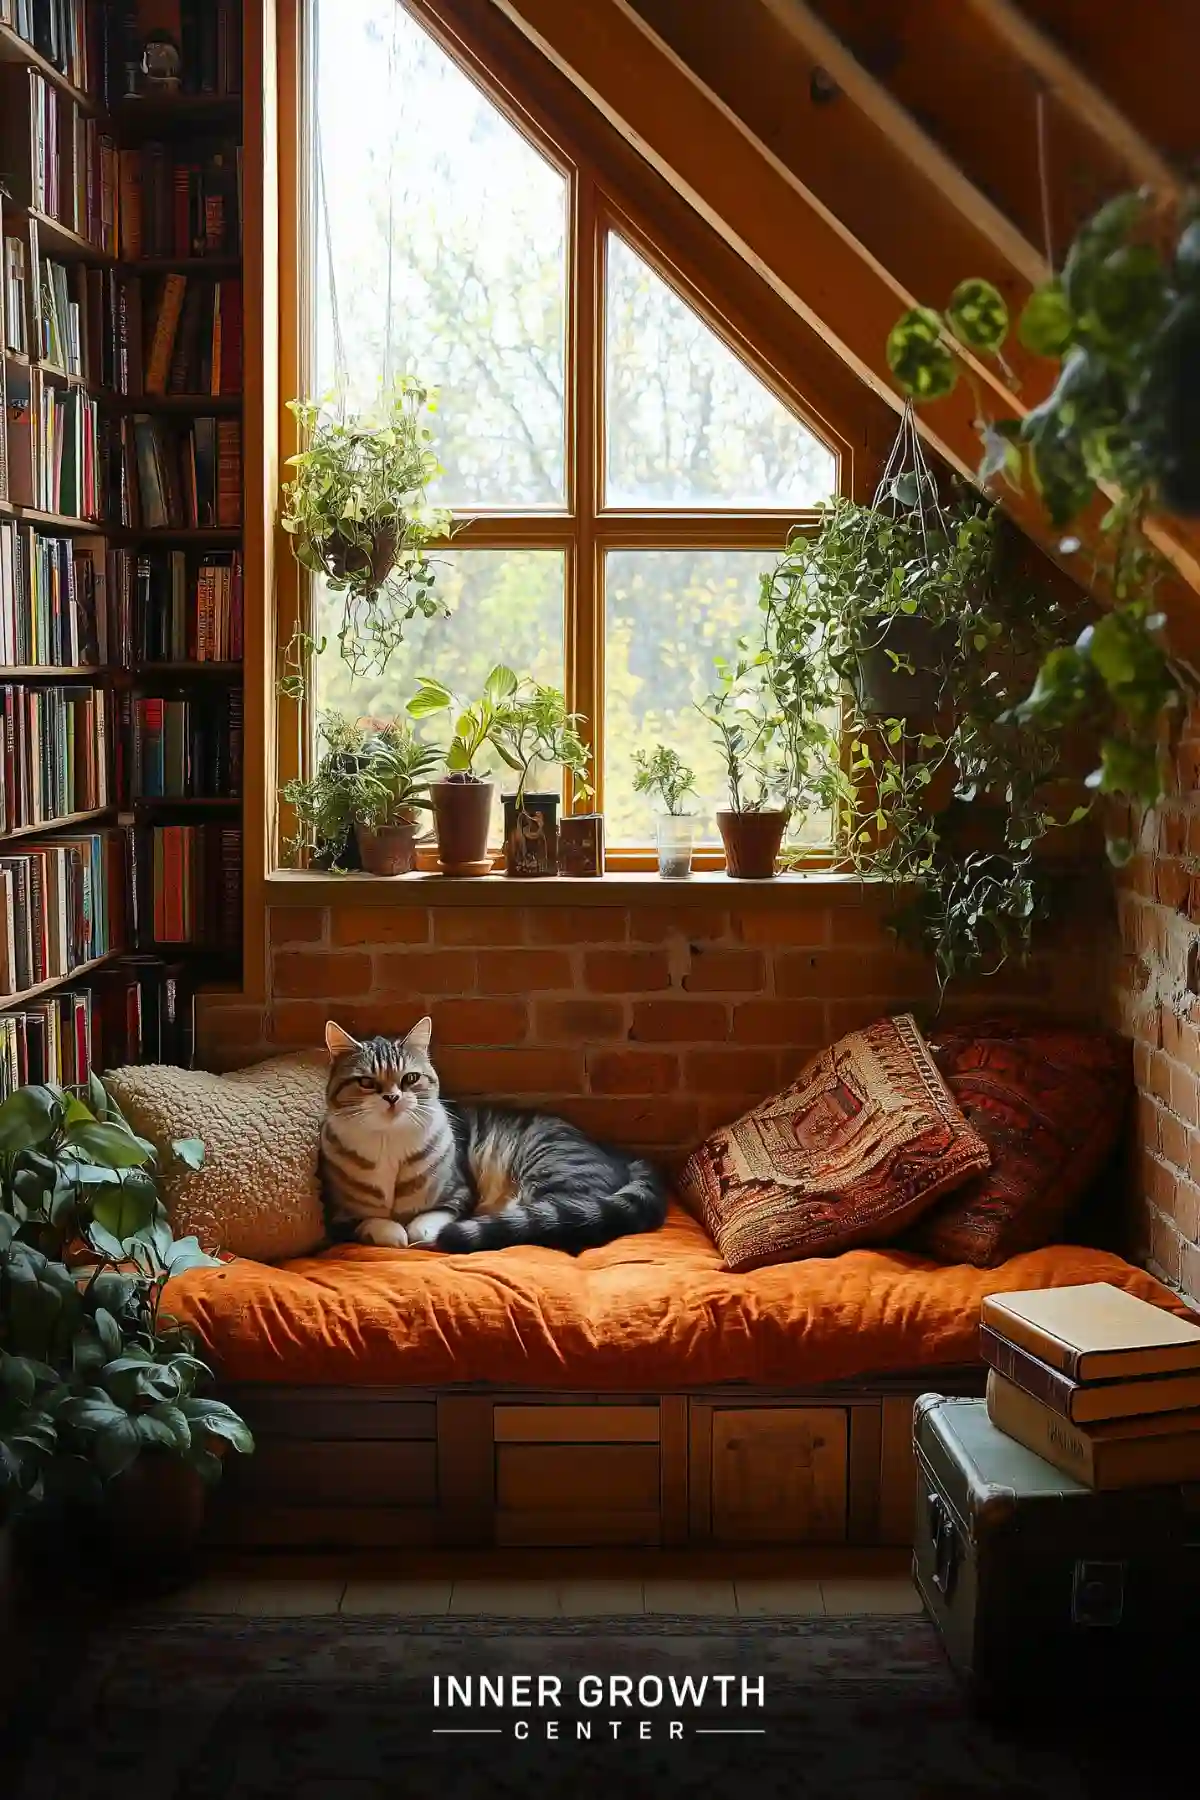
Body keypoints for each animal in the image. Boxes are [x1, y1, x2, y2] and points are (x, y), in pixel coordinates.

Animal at [318, 1022, 672, 1260]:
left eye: (411, 1078)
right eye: (366, 1082)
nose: (392, 1098)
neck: (388, 1142)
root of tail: (620, 1156)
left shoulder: (460, 1193)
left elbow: (426, 1221)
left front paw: (419, 1232)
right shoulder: (339, 1214)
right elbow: (373, 1221)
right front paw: (393, 1233)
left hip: (553, 1177)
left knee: (555, 1224)